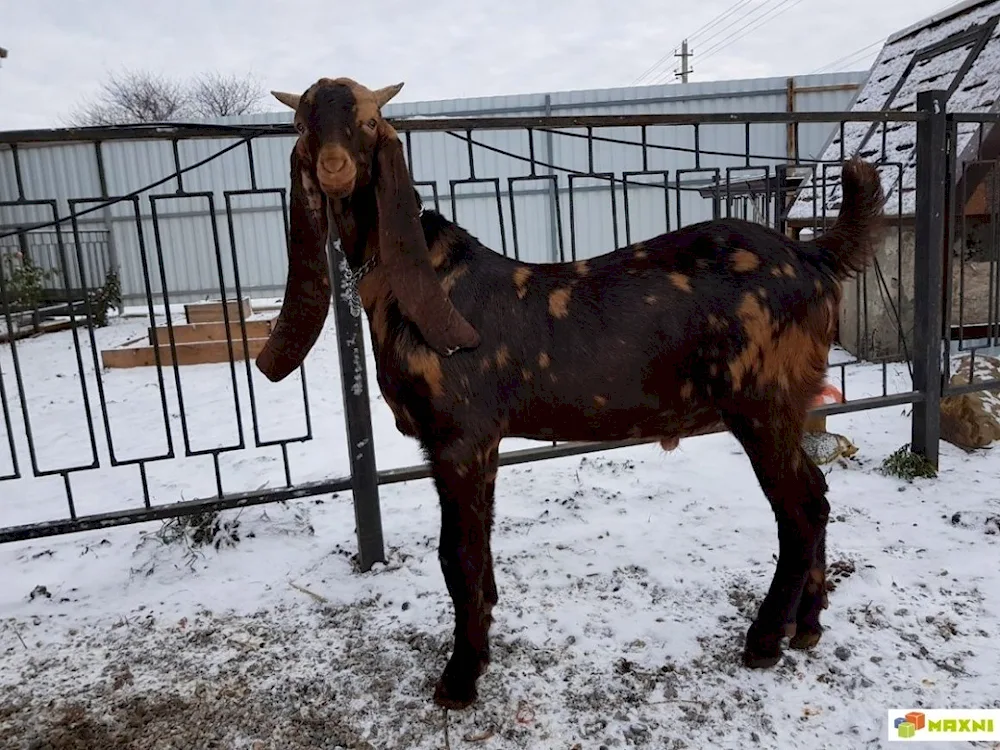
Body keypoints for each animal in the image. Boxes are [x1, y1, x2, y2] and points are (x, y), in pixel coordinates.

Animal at [256, 78, 884, 712]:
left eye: (367, 121)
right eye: (303, 124)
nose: (334, 168)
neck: (428, 289)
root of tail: (813, 256)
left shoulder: (459, 438)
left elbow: (457, 556)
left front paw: (459, 678)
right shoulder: (479, 445)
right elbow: (479, 551)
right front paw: (480, 645)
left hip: (762, 403)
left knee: (798, 509)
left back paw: (764, 639)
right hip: (788, 404)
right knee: (818, 493)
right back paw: (808, 626)